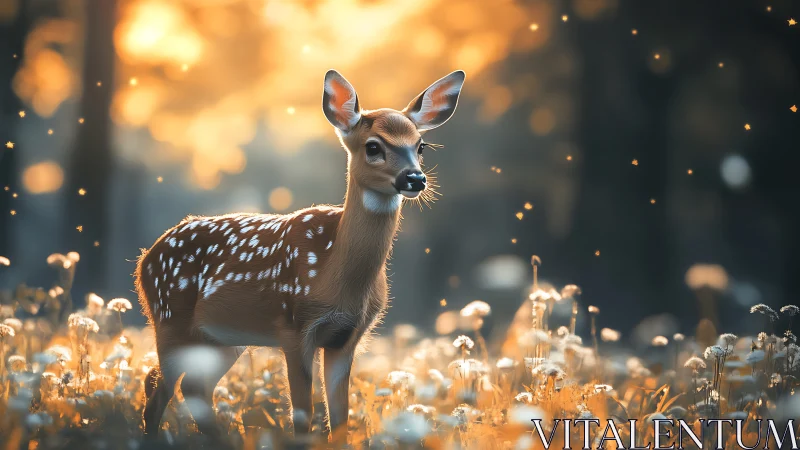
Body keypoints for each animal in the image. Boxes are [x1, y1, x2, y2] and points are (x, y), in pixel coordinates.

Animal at [135, 69, 465, 440]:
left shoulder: (348, 336)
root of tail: (145, 259)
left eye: (420, 146)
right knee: (158, 391)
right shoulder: (293, 326)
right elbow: (302, 418)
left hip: (220, 338)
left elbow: (340, 419)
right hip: (169, 317)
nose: (415, 179)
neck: (337, 274)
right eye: (374, 146)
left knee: (188, 389)